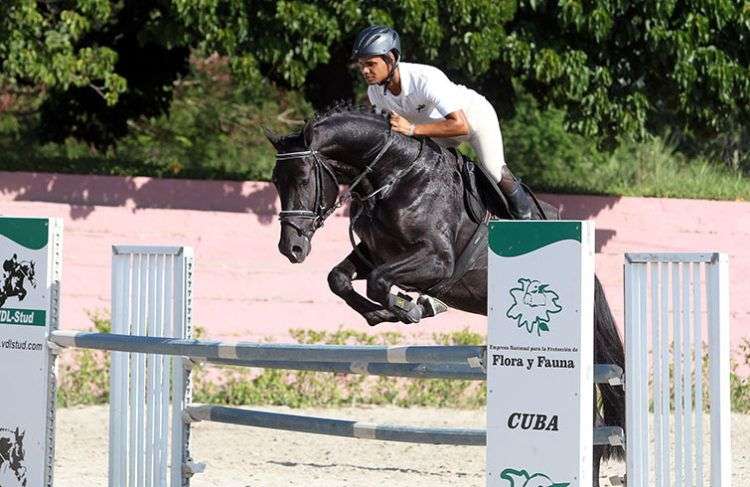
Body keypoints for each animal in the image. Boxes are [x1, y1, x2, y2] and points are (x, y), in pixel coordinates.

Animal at [268, 104, 624, 484]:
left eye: (303, 178)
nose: (291, 248)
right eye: (275, 181)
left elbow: (379, 282)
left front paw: (415, 307)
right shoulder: (374, 253)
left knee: (595, 425)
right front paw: (381, 313)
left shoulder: (437, 261)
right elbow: (339, 279)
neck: (394, 177)